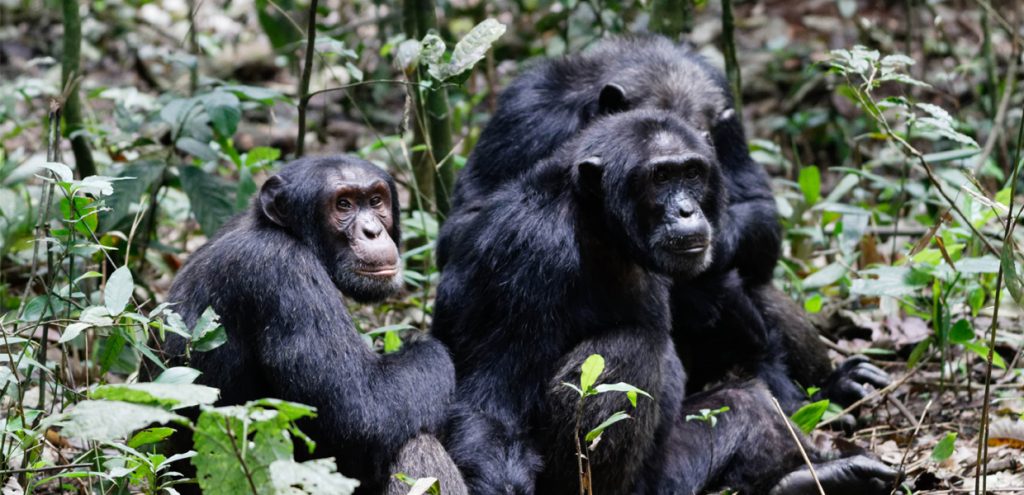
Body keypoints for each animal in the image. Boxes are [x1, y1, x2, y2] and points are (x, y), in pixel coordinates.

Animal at [164, 155, 468, 495]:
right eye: (344, 204)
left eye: (376, 201)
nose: (372, 231)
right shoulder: (282, 270)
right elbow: (363, 411)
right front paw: (419, 343)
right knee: (414, 441)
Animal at [432, 111, 897, 495]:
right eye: (659, 178)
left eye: (690, 173)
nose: (687, 210)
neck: (597, 227)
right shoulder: (526, 254)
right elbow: (492, 404)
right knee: (633, 350)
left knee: (746, 401)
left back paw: (813, 477)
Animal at [436, 35, 884, 414]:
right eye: (659, 174)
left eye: (698, 150)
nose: (683, 208)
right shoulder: (525, 115)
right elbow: (465, 228)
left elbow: (759, 208)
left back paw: (833, 386)